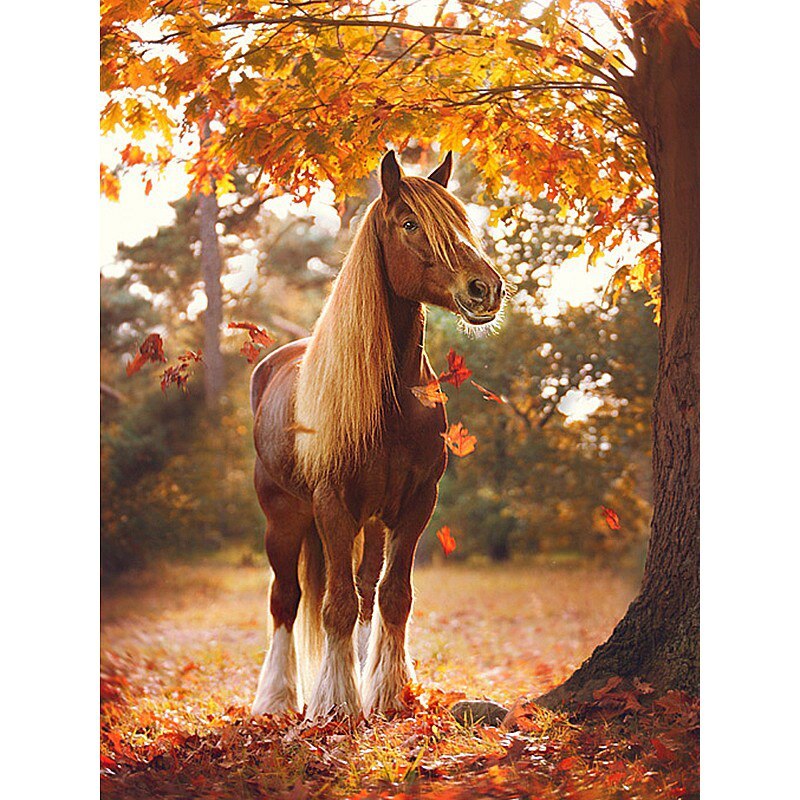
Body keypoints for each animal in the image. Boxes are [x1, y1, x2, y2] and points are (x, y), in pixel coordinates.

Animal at [250, 150, 504, 719]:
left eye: (461, 220)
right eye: (410, 223)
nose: (485, 288)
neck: (391, 401)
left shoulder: (415, 504)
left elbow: (392, 596)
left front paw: (386, 692)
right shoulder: (332, 504)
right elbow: (336, 605)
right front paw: (336, 704)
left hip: (368, 521)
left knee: (366, 590)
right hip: (285, 517)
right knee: (286, 600)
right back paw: (275, 699)